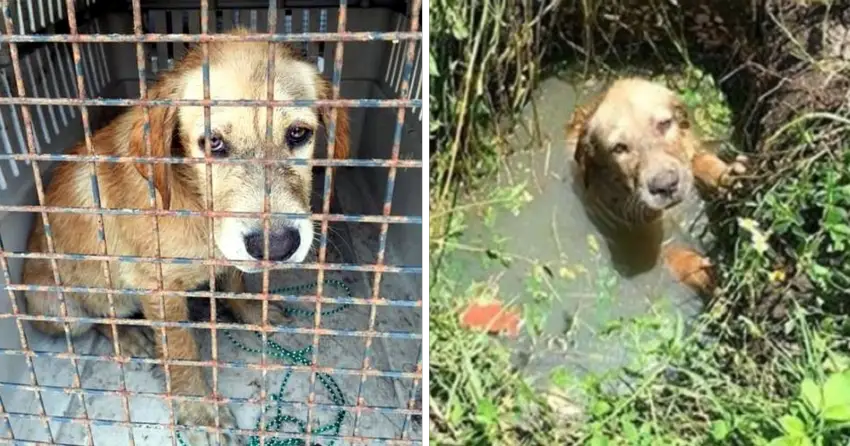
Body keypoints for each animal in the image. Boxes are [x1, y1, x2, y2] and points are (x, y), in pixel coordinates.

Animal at [22, 27, 348, 442]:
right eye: (213, 143)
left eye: (298, 133)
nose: (276, 246)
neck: (194, 200)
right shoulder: (158, 287)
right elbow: (181, 351)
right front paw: (200, 412)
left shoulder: (230, 250)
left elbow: (235, 279)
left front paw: (250, 310)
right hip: (57, 308)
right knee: (98, 318)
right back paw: (128, 335)